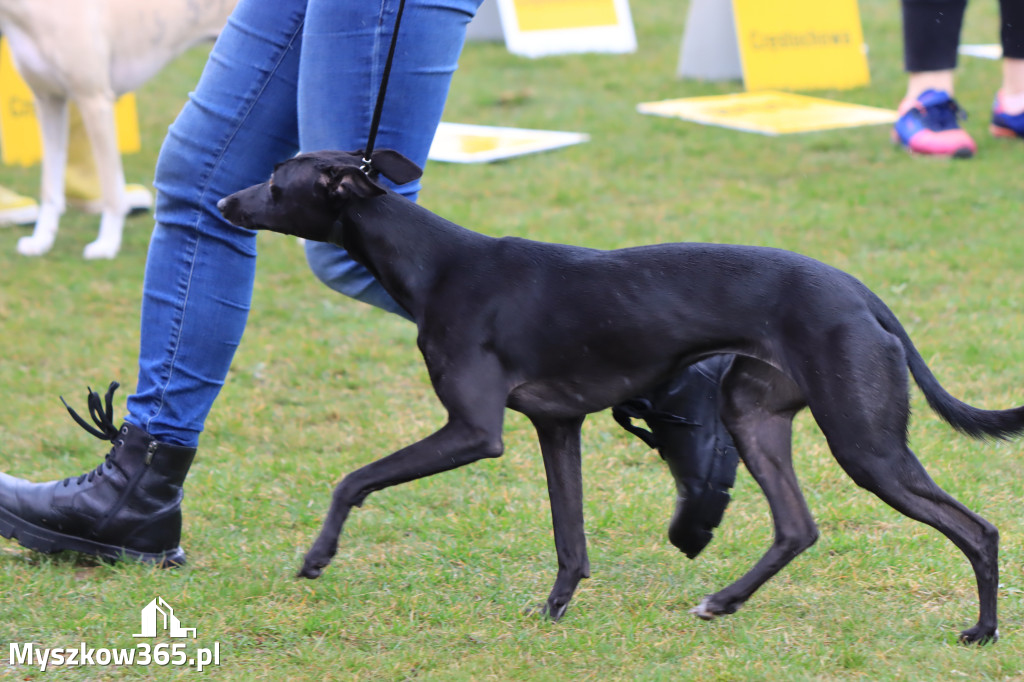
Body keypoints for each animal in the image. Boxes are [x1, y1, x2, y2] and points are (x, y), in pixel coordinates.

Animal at [0, 0, 235, 258]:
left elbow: (111, 190)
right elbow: (50, 187)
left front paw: (106, 244)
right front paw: (41, 240)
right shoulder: (48, 101)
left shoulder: (95, 102)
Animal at [218, 150, 1024, 643]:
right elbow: (569, 539)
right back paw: (723, 599)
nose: (223, 199)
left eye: (276, 182)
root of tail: (863, 296)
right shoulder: (558, 426)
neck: (435, 262)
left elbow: (354, 478)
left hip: (866, 444)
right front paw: (553, 611)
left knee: (978, 529)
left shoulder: (474, 430)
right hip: (755, 416)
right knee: (797, 528)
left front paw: (317, 556)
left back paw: (983, 631)